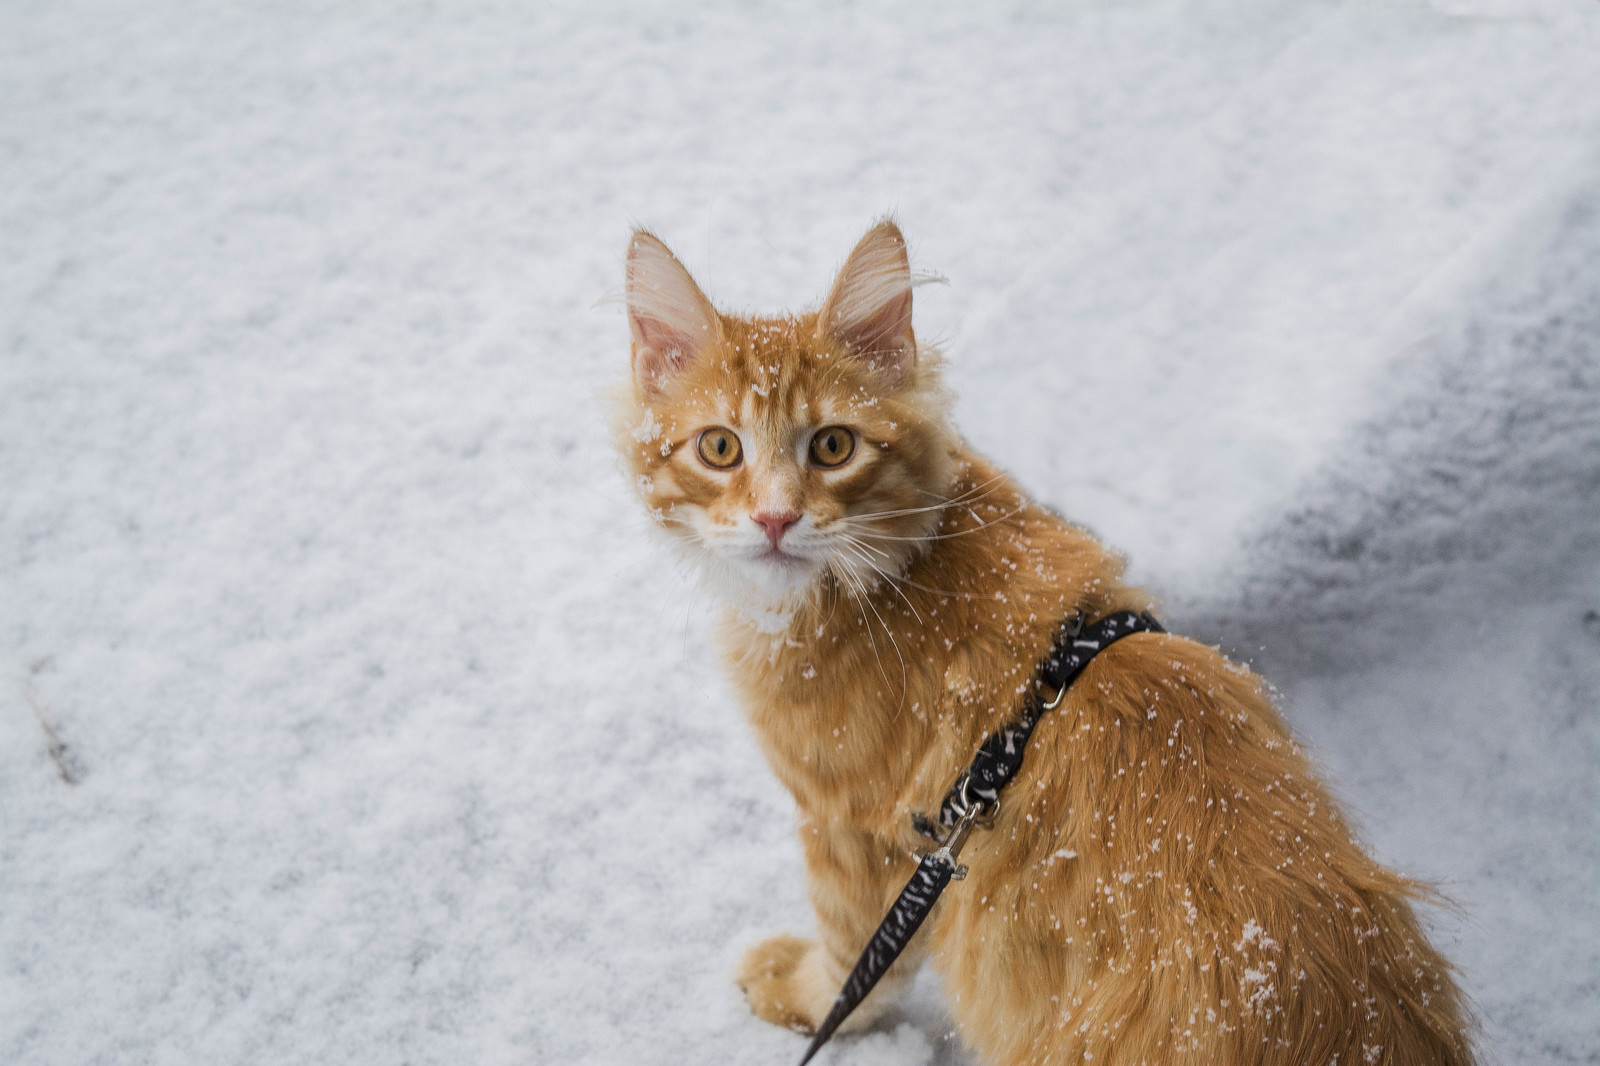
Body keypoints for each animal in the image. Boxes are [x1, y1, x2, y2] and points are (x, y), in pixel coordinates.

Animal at [611, 219, 1472, 1056]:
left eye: (832, 446)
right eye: (720, 448)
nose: (775, 519)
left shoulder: (857, 832)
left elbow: (854, 962)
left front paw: (803, 999)